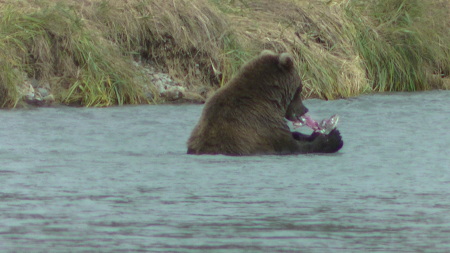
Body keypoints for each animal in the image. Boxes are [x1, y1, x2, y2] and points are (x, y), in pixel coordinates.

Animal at [188, 50, 342, 155]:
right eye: (300, 88)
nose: (304, 109)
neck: (271, 100)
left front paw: (313, 134)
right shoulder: (264, 125)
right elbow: (294, 147)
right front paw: (334, 138)